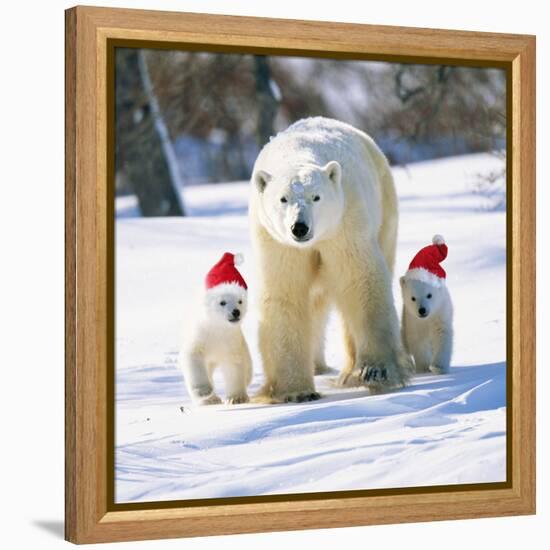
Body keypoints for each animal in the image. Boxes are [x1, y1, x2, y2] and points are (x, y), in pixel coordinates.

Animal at [181, 254, 254, 406]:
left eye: (240, 301)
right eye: (222, 302)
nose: (236, 312)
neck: (217, 328)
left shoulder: (232, 341)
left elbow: (234, 365)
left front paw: (236, 398)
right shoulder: (200, 336)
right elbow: (193, 357)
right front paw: (204, 392)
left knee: (248, 370)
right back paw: (210, 400)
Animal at [250, 116, 414, 404]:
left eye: (316, 197)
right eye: (283, 199)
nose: (300, 227)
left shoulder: (344, 223)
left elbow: (360, 280)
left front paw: (377, 371)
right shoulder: (276, 241)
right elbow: (285, 293)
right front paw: (296, 391)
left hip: (385, 208)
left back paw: (350, 372)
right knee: (314, 303)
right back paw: (318, 366)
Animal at [398, 235, 454, 378]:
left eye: (429, 295)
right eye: (413, 298)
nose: (422, 310)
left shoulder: (440, 313)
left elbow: (442, 336)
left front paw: (438, 367)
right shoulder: (413, 320)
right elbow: (419, 342)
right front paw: (423, 368)